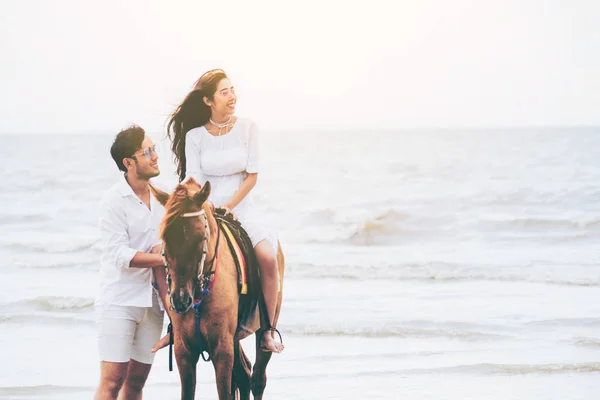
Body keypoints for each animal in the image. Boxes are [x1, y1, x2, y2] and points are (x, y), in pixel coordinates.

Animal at [148, 178, 284, 400]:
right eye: (164, 238)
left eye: (199, 237)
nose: (180, 300)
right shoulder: (184, 350)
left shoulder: (222, 349)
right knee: (244, 375)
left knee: (257, 378)